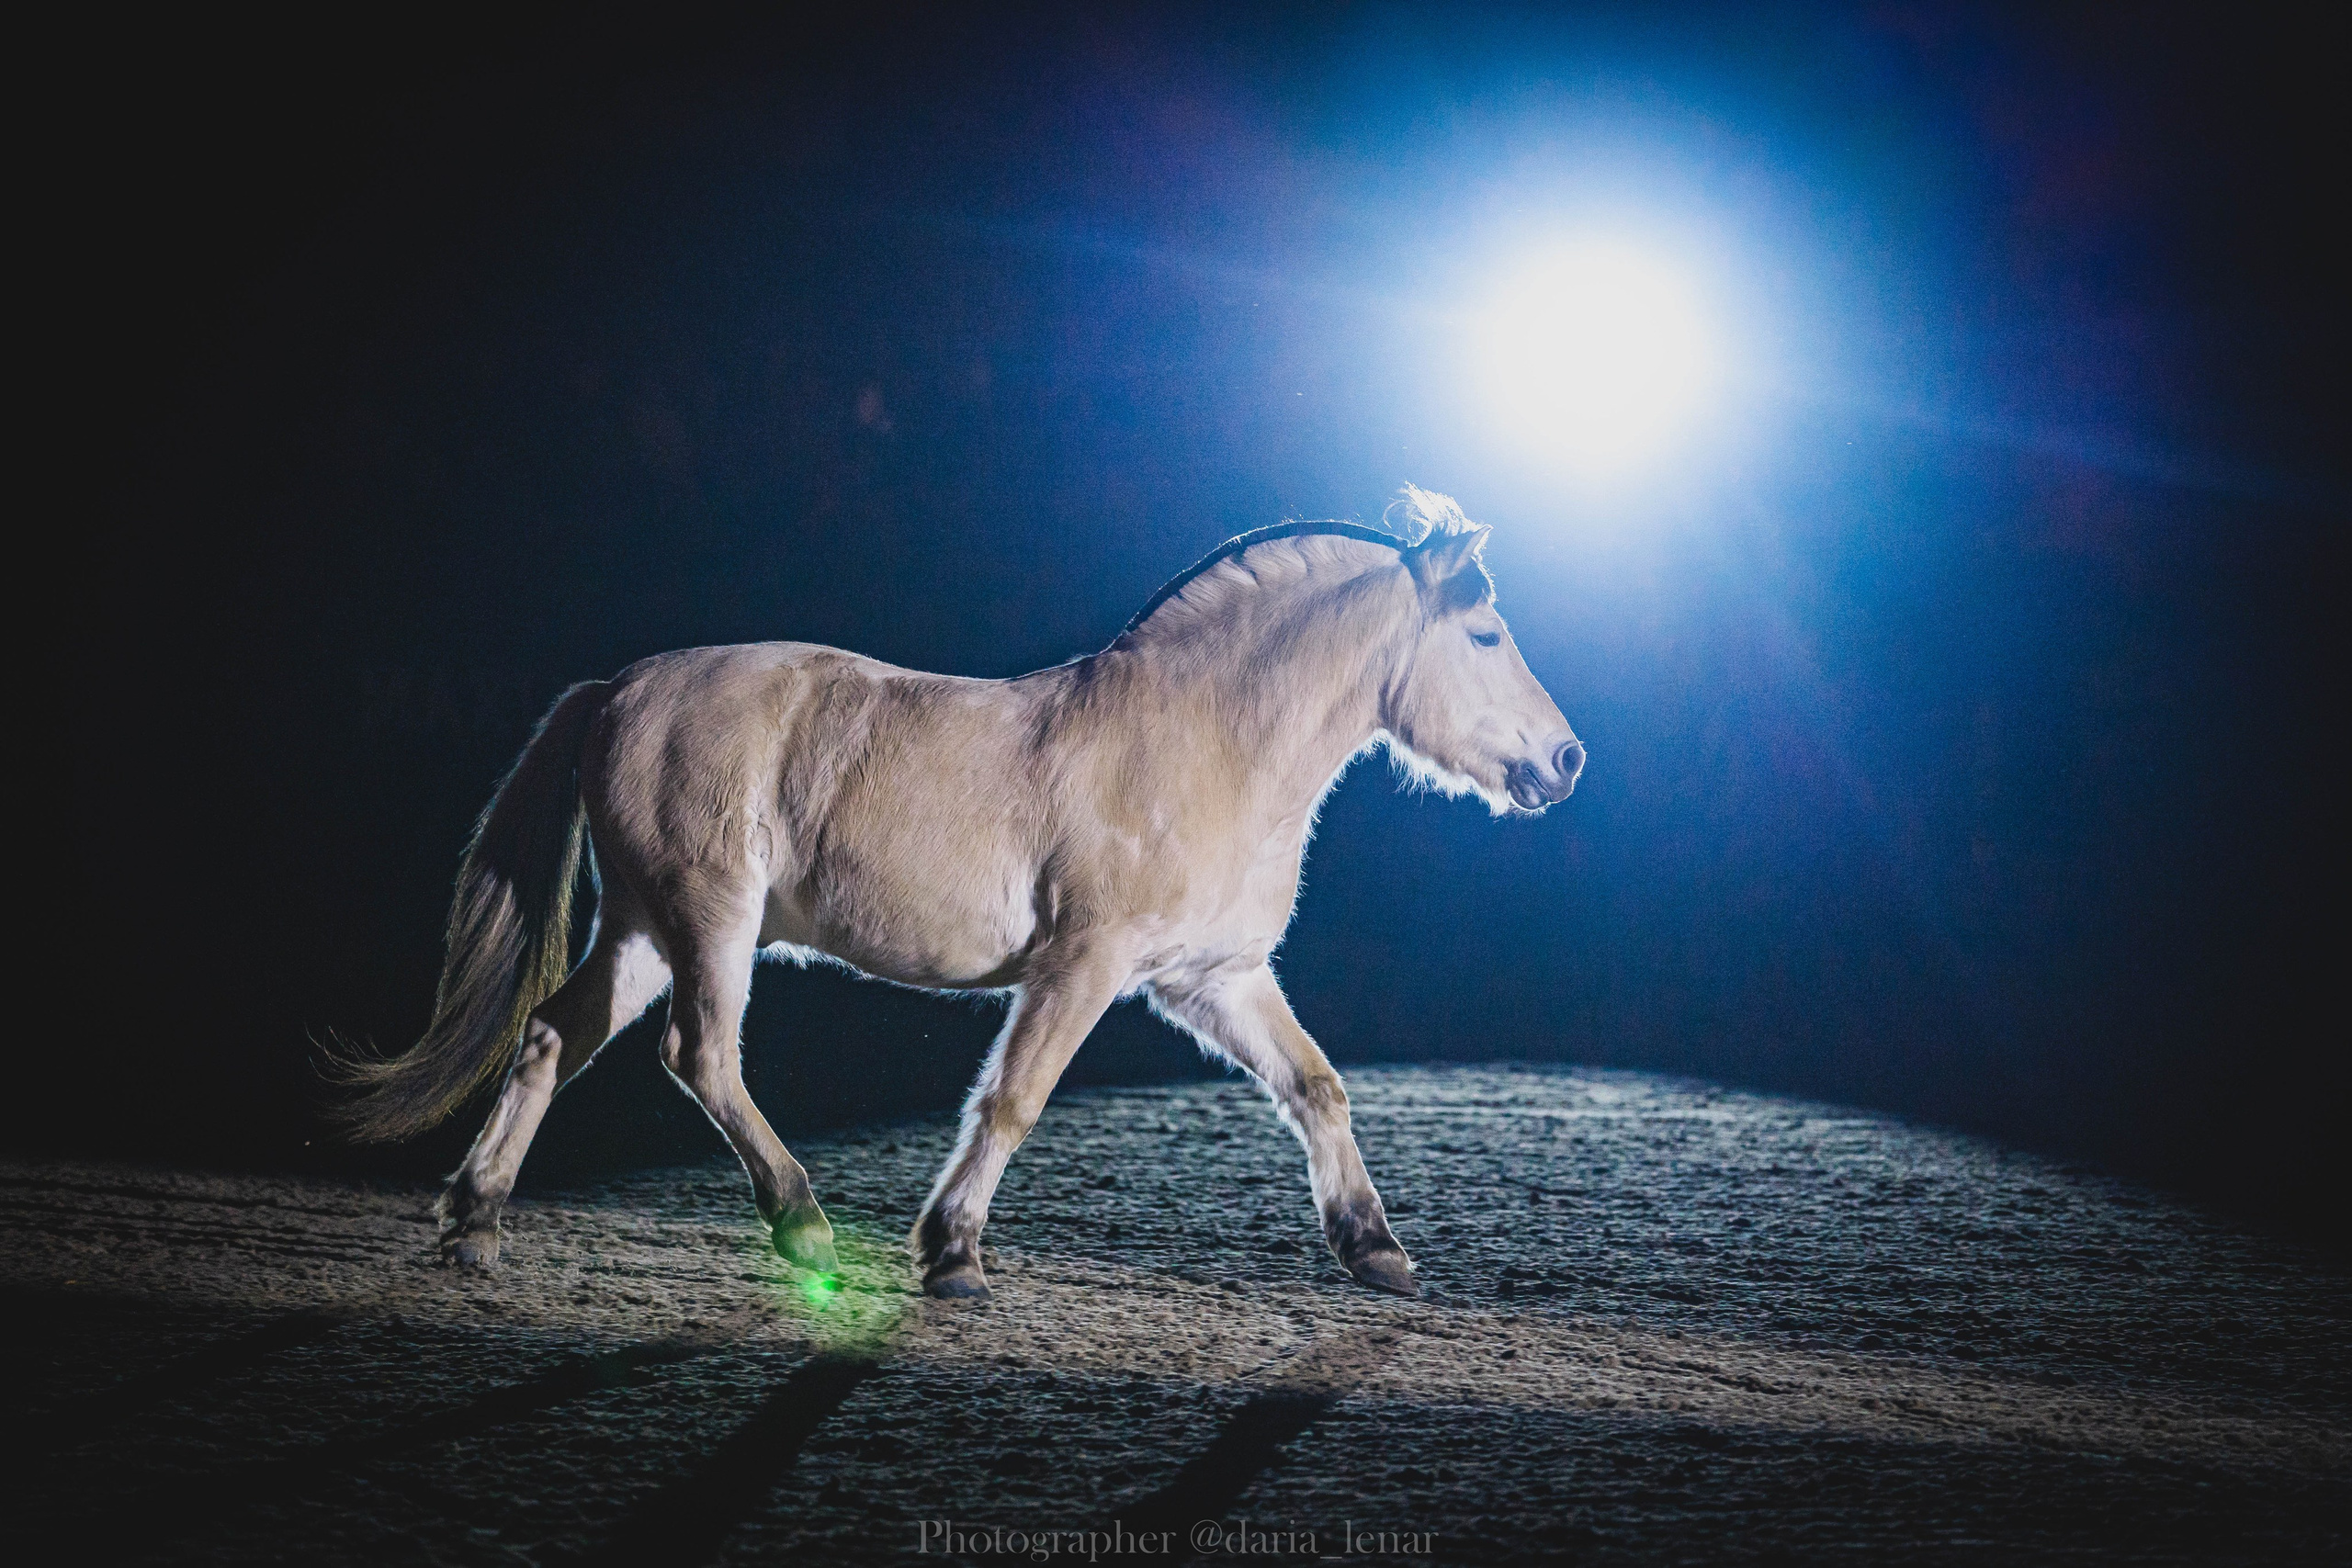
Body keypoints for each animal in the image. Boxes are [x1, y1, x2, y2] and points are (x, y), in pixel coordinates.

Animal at [329, 486, 1584, 1300]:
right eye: (1486, 631)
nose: (1565, 762)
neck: (1203, 743)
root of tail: (621, 686)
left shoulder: (1212, 978)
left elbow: (1317, 1087)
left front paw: (1375, 1250)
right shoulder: (1083, 963)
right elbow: (1012, 1101)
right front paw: (953, 1256)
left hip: (640, 925)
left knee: (550, 1038)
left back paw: (474, 1227)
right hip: (709, 918)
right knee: (700, 1055)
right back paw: (805, 1230)